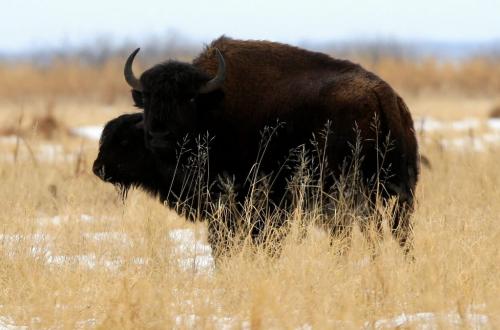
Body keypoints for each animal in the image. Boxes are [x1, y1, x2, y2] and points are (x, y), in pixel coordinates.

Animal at [119, 36, 420, 250]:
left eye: (189, 99)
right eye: (148, 98)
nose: (159, 137)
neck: (215, 104)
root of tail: (383, 94)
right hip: (394, 190)